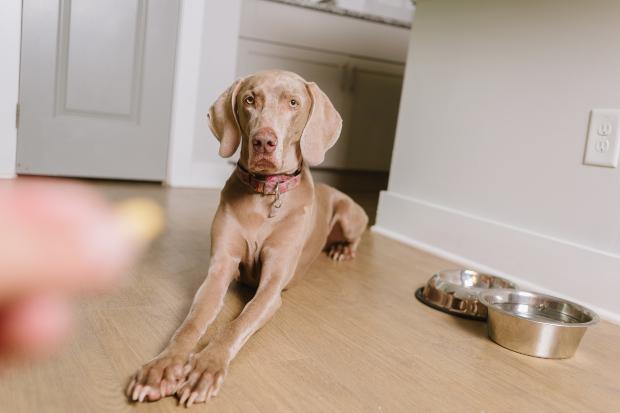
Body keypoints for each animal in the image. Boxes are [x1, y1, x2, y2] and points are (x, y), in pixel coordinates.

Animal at [126, 71, 368, 406]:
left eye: (293, 103)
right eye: (250, 100)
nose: (264, 141)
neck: (265, 194)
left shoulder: (272, 287)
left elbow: (236, 325)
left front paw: (205, 367)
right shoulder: (219, 271)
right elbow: (190, 324)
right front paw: (163, 366)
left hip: (349, 214)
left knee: (357, 232)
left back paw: (343, 249)